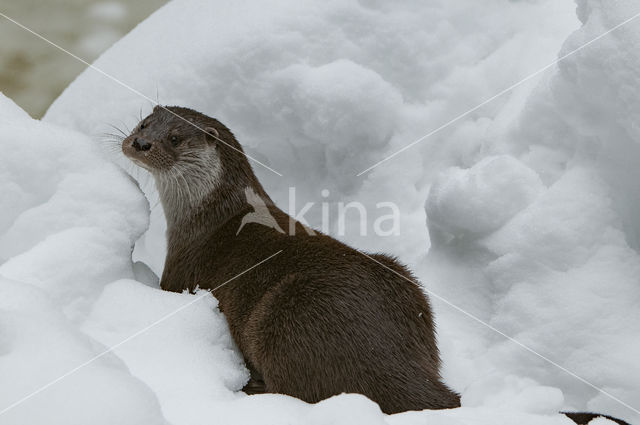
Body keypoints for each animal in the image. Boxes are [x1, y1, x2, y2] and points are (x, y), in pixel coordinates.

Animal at [124, 106, 632, 424]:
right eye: (145, 121)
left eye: (174, 138)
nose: (138, 143)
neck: (213, 215)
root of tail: (392, 359)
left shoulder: (182, 272)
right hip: (407, 282)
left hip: (280, 319)